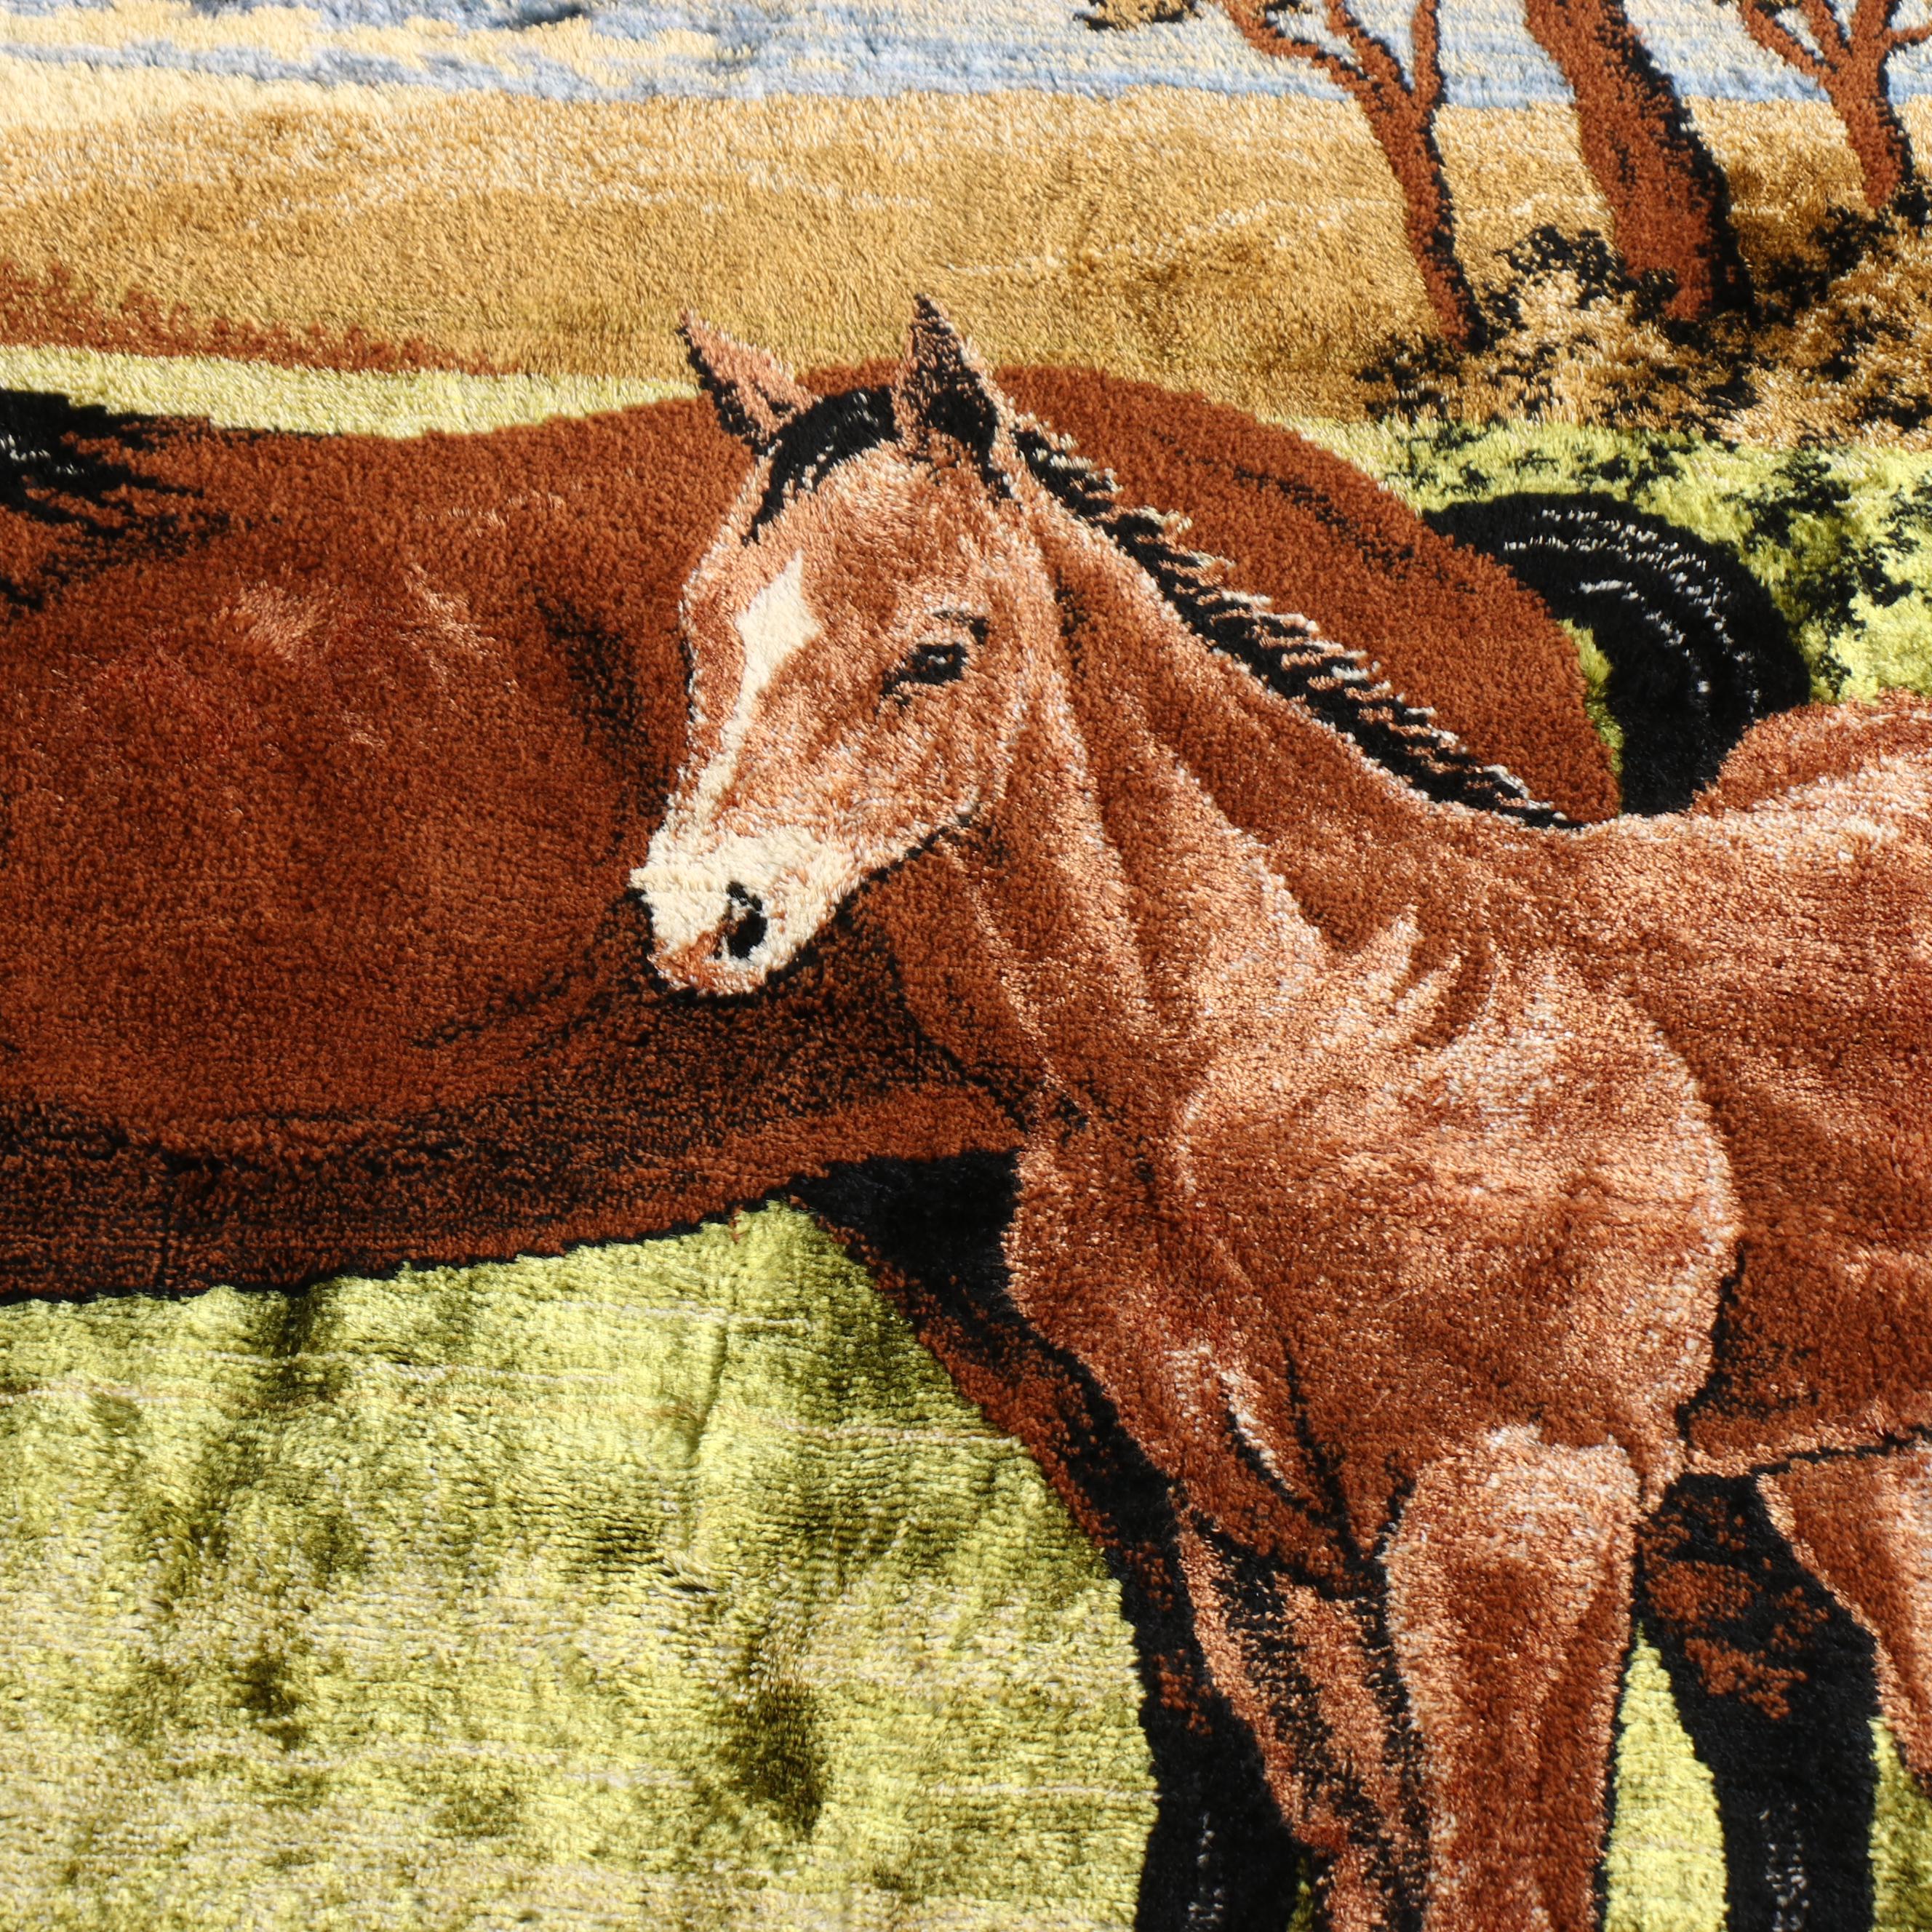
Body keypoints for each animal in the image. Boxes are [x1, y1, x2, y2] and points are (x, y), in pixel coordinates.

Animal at [642, 298, 1932, 1932]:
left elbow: (1506, 1882)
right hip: (1863, 1467)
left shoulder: (1515, 1510)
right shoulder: (1262, 1545)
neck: (1289, 1017)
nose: (703, 919)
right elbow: (1368, 1857)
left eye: (936, 649)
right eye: (703, 627)